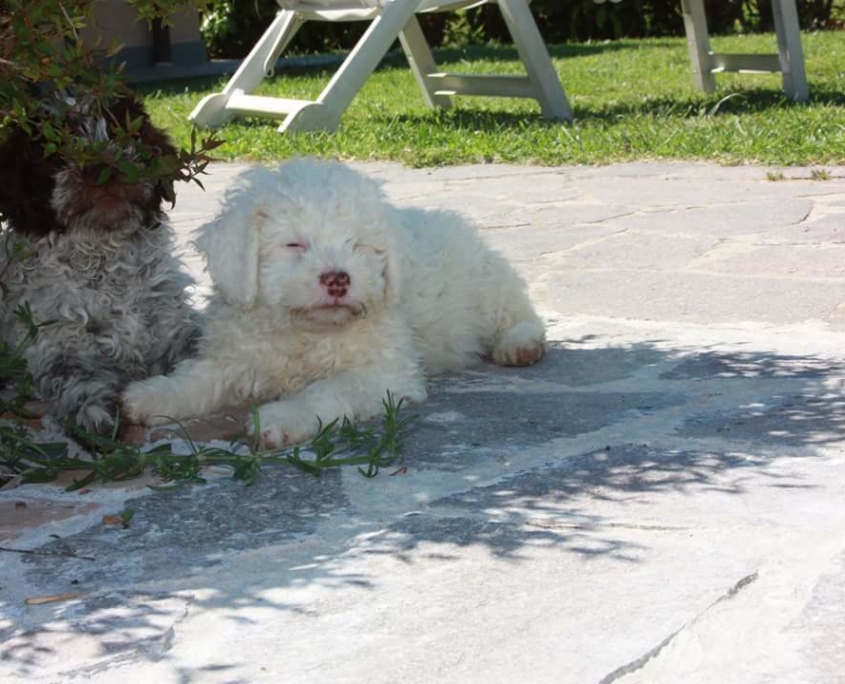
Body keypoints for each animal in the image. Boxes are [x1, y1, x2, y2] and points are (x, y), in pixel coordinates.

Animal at [0, 91, 199, 432]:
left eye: (124, 133)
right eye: (56, 151)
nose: (102, 166)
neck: (104, 263)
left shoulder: (170, 323)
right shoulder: (54, 341)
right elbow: (72, 376)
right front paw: (95, 411)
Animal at [125, 159, 548, 448]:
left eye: (358, 245)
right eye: (295, 244)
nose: (338, 279)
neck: (305, 331)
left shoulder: (383, 373)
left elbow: (326, 390)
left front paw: (282, 417)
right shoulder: (236, 357)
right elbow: (199, 379)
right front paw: (152, 396)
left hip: (488, 287)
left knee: (521, 314)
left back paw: (520, 345)